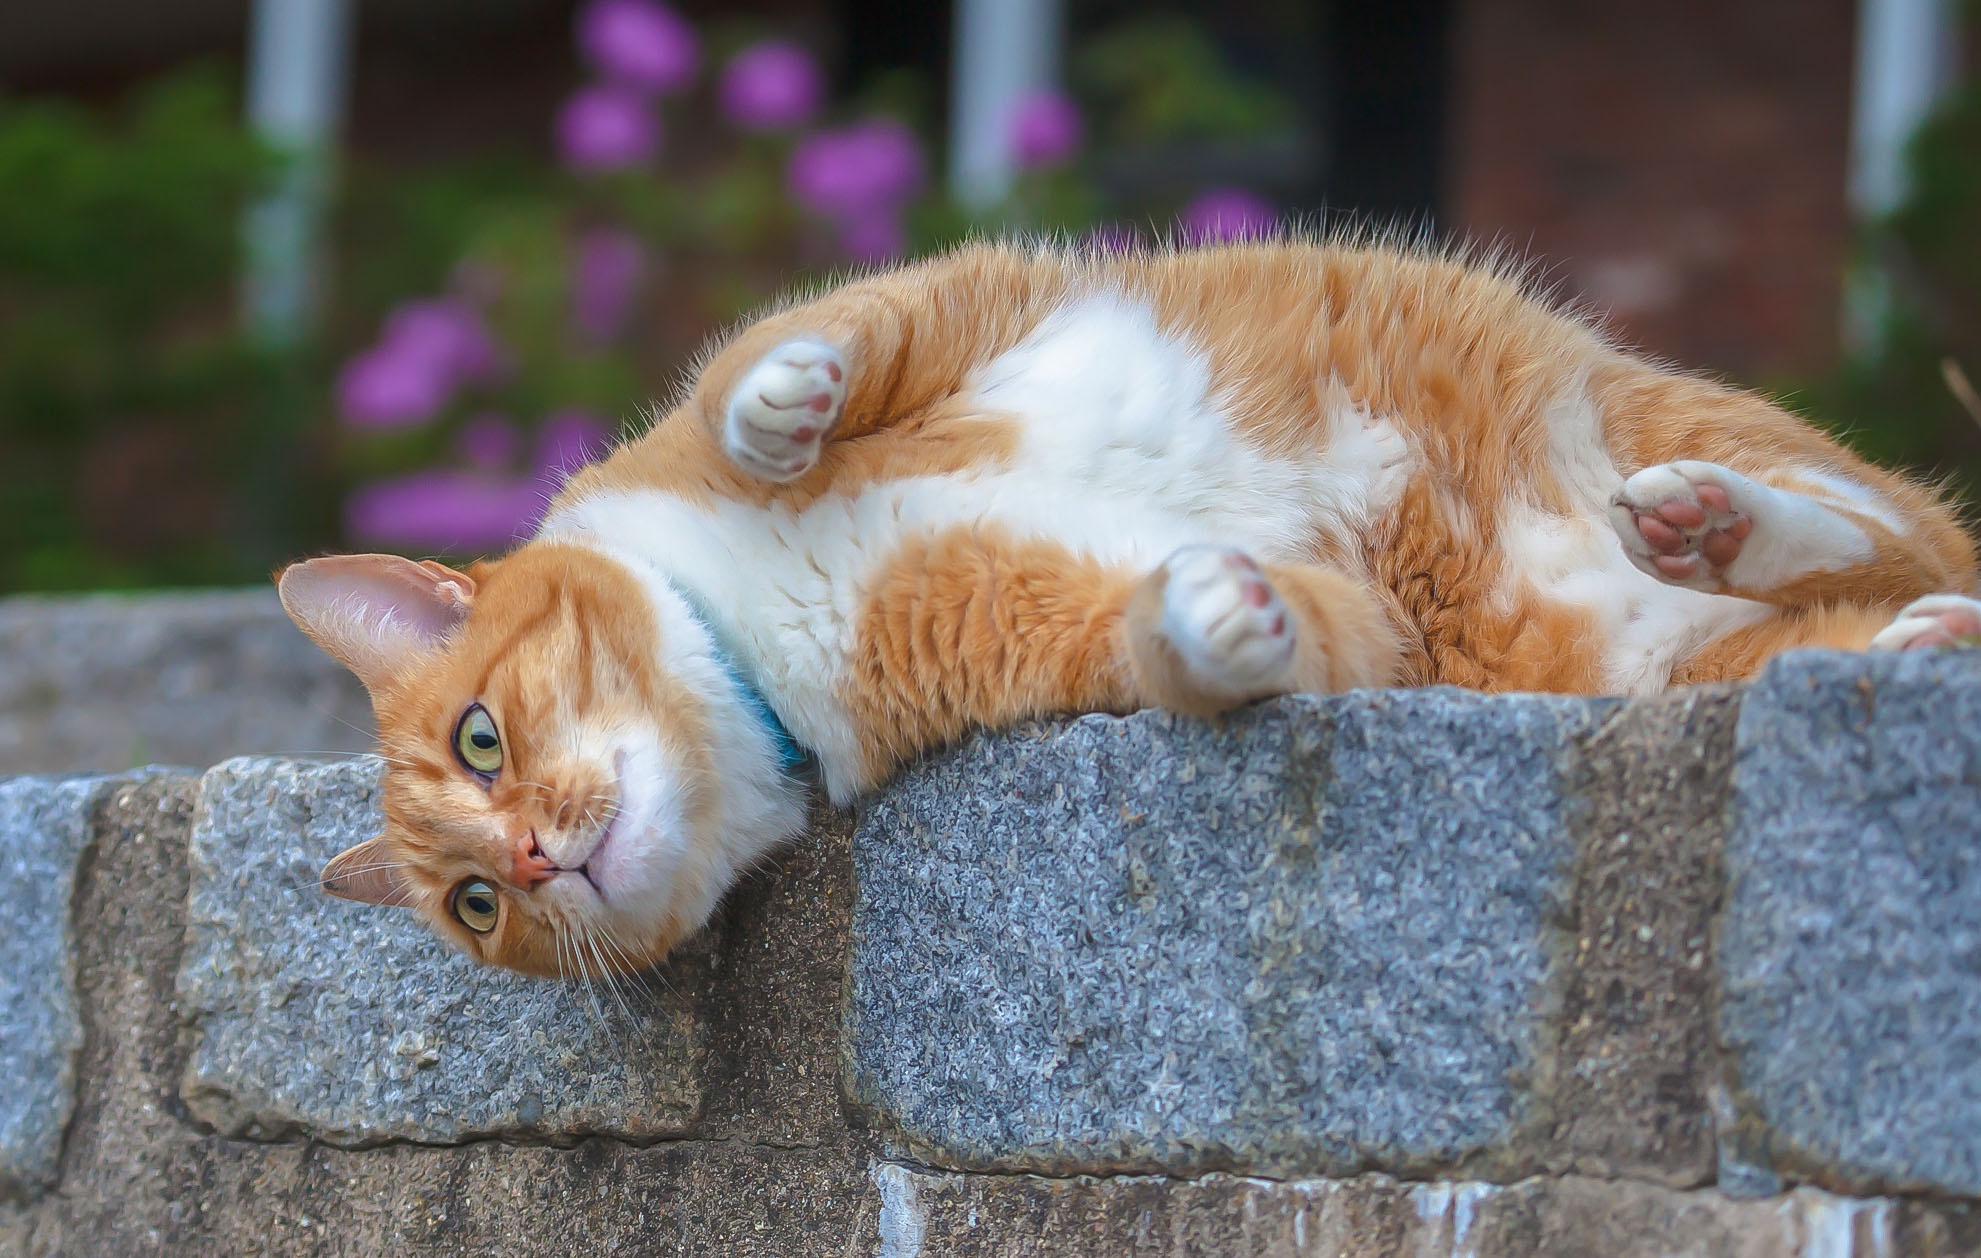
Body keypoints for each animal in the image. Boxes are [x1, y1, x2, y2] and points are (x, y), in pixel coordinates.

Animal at [275, 240, 1981, 978]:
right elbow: (1183, 640)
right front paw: (1217, 618)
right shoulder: (1054, 632)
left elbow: (793, 352)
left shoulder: (967, 295)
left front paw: (783, 414)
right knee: (1905, 596)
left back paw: (1721, 522)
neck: (747, 628)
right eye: (473, 906)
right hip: (1654, 651)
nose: (531, 857)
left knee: (1903, 526)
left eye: (482, 738)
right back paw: (1879, 634)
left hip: (1643, 415)